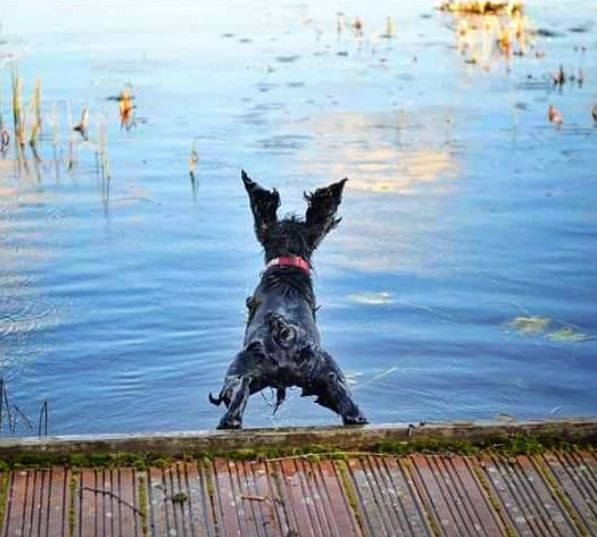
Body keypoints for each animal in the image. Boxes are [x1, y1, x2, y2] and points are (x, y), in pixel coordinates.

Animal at [210, 170, 368, 430]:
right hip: (328, 376)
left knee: (237, 395)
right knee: (350, 408)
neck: (287, 266)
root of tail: (285, 334)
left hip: (240, 368)